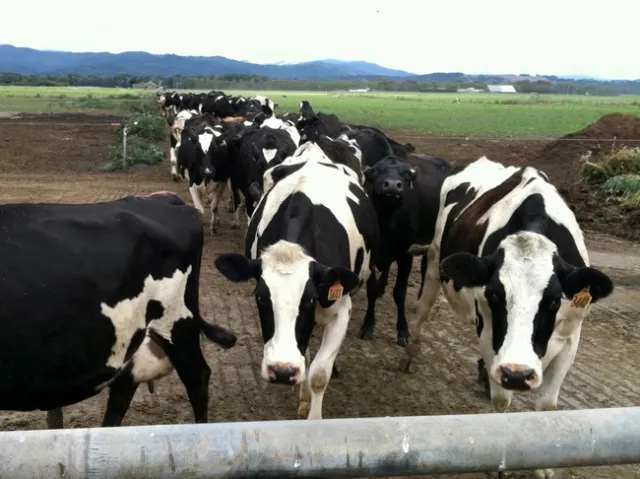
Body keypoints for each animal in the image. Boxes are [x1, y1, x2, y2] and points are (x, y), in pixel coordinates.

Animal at [214, 147, 379, 420]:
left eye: (310, 298)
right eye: (260, 297)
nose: (282, 371)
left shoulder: (341, 310)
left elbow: (319, 374)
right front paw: (303, 398)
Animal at [359, 154, 451, 346]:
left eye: (406, 175)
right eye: (376, 171)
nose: (393, 185)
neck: (386, 224)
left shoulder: (405, 255)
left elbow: (399, 293)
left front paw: (403, 331)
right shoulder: (373, 255)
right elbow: (371, 289)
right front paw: (368, 325)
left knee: (424, 268)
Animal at [399, 156, 614, 479]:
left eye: (554, 300)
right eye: (494, 295)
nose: (517, 374)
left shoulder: (571, 338)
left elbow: (547, 405)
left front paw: (544, 468)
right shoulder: (489, 332)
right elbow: (502, 400)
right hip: (435, 264)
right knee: (422, 311)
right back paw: (410, 356)